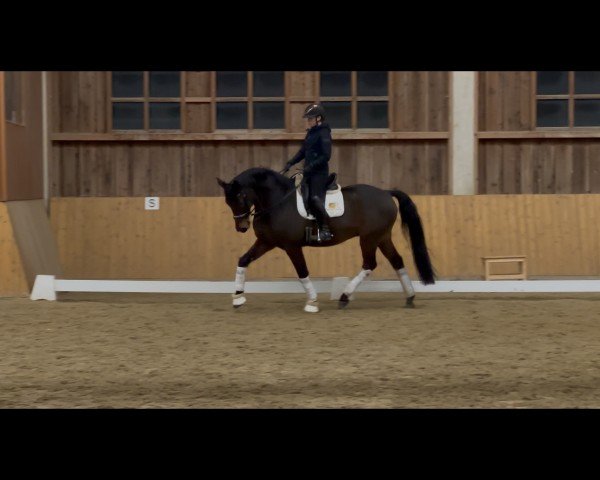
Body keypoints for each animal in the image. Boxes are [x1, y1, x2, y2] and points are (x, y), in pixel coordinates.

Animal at [218, 167, 434, 314]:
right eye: (228, 201)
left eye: (240, 196)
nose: (241, 227)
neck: (277, 202)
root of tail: (386, 193)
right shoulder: (267, 242)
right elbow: (243, 260)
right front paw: (238, 298)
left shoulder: (291, 246)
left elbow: (302, 272)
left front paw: (312, 302)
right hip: (382, 237)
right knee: (397, 261)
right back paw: (410, 297)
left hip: (369, 238)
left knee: (369, 264)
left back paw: (345, 297)